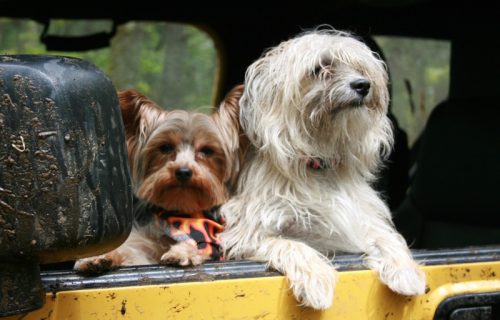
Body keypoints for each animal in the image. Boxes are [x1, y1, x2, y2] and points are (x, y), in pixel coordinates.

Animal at [221, 29, 428, 310]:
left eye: (359, 68)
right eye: (320, 68)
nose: (363, 85)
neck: (321, 163)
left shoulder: (357, 220)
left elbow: (386, 237)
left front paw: (406, 271)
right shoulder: (247, 233)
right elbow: (293, 245)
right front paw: (316, 279)